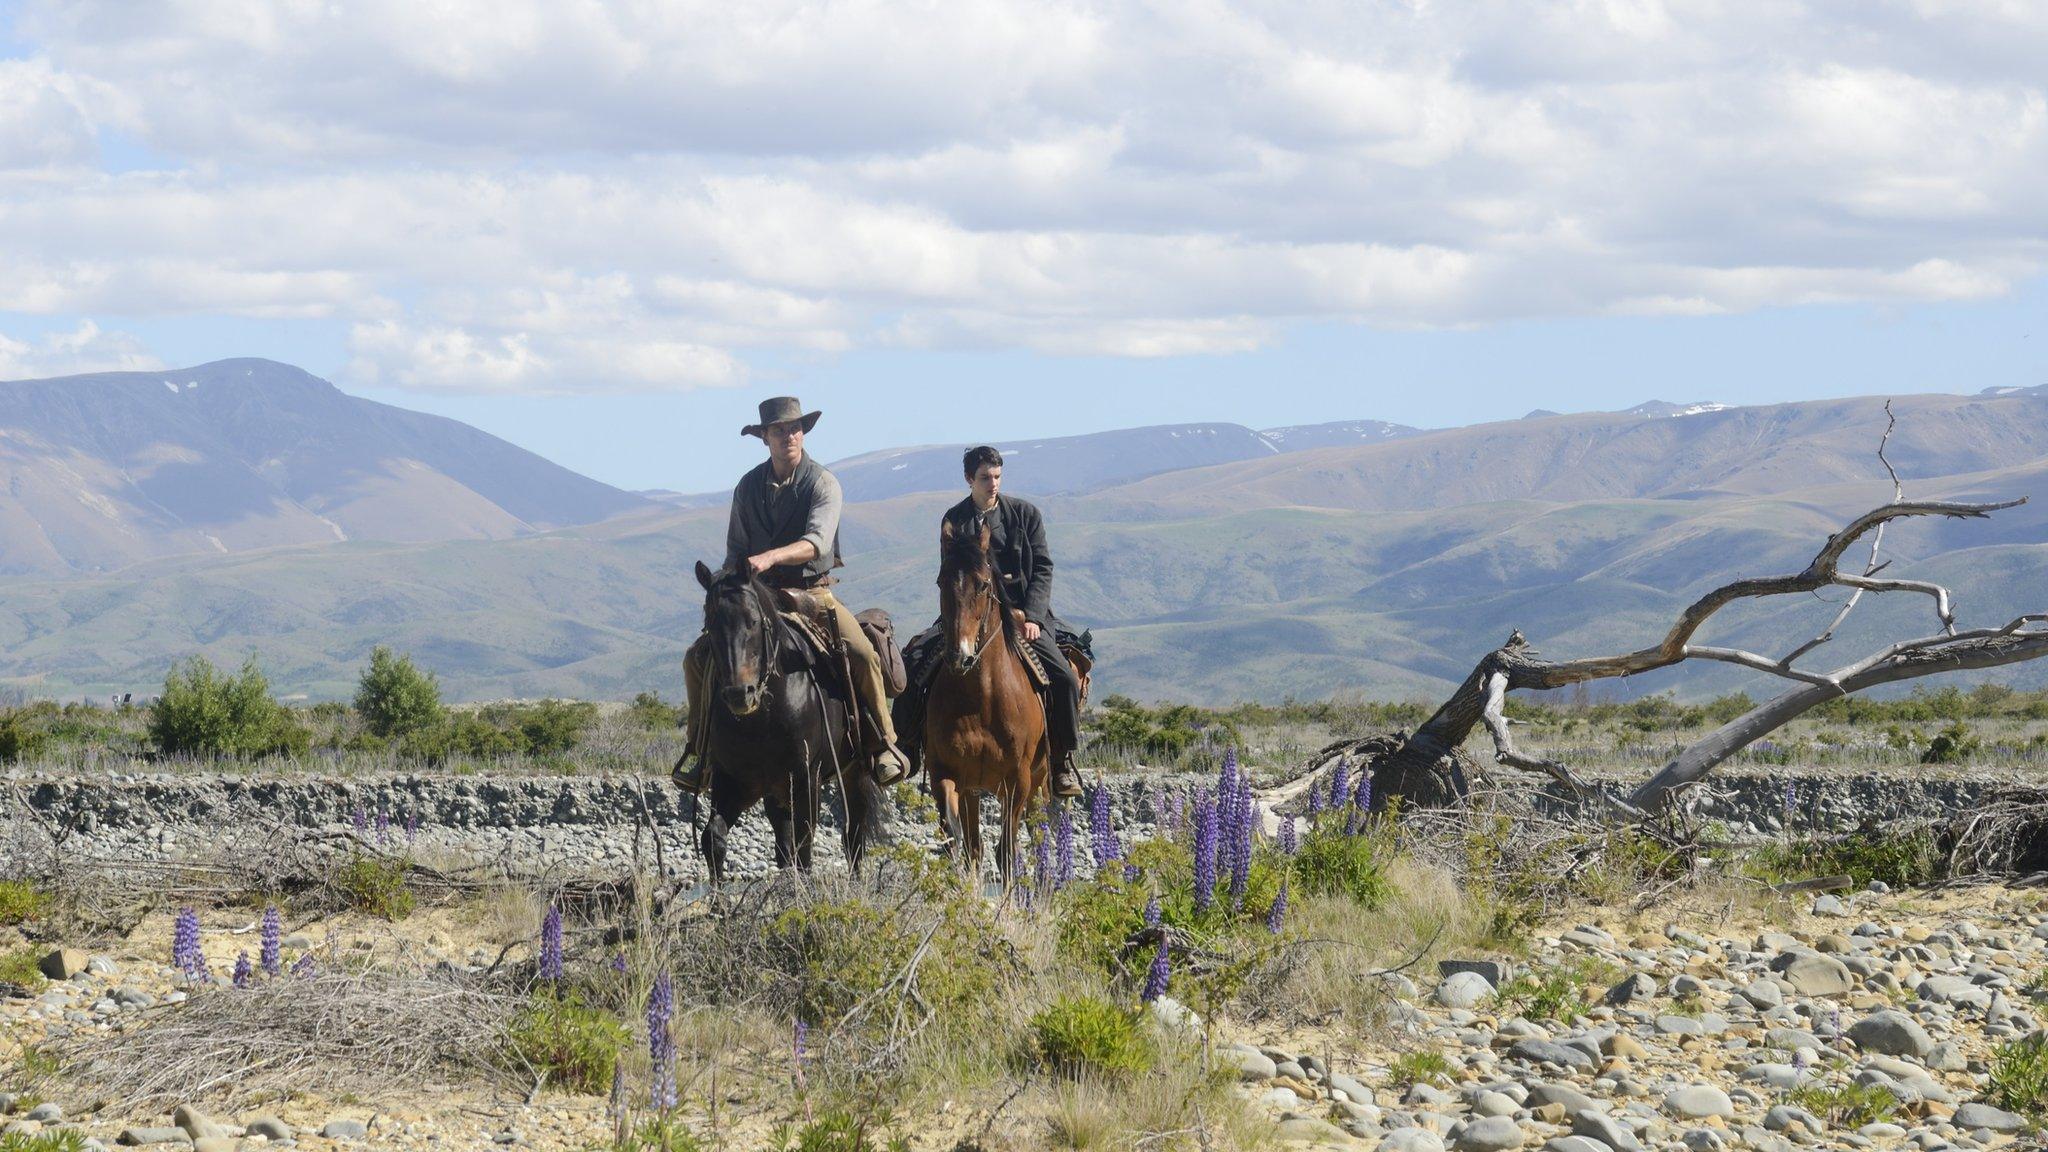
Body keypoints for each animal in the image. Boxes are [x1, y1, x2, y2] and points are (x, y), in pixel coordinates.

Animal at [692, 561, 884, 877]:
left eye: (753, 621)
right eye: (710, 623)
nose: (739, 694)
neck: (764, 719)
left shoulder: (807, 778)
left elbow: (804, 843)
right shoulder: (733, 781)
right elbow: (713, 837)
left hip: (854, 771)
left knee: (853, 834)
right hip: (778, 789)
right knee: (784, 840)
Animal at [933, 516, 1056, 881]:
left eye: (984, 585)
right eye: (941, 581)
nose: (958, 656)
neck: (982, 699)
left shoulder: (1018, 780)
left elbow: (1006, 852)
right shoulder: (948, 774)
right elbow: (960, 842)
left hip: (1039, 783)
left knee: (1037, 836)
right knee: (974, 847)